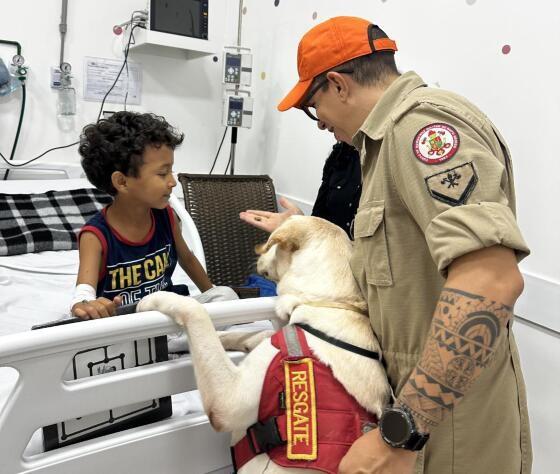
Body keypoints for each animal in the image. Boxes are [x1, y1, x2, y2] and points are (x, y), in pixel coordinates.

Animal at [137, 217, 390, 472]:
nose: (256, 253)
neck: (323, 304)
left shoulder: (228, 402)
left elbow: (198, 313)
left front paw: (153, 300)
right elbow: (257, 333)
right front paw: (223, 338)